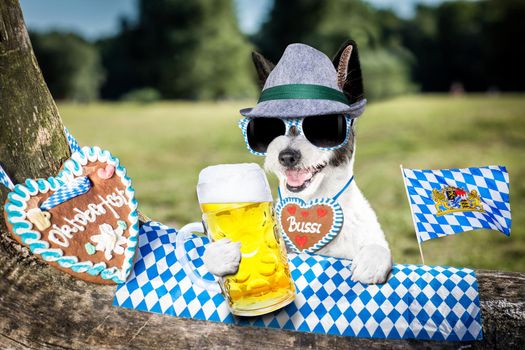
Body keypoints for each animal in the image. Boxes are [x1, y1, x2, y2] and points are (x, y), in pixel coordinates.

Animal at [203, 41, 390, 284]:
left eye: (323, 125)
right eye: (268, 127)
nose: (287, 156)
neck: (310, 204)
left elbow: (378, 245)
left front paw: (373, 259)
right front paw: (220, 255)